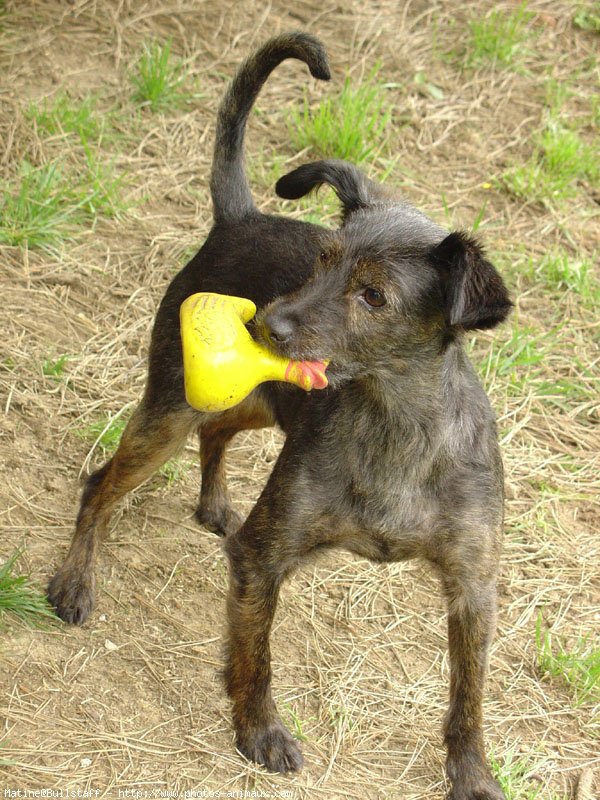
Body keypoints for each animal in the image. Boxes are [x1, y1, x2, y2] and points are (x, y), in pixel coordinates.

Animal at [50, 32, 510, 800]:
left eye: (373, 296)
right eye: (322, 260)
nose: (265, 323)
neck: (395, 427)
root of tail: (240, 217)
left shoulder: (472, 588)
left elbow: (467, 697)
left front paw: (472, 774)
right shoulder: (261, 559)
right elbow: (255, 655)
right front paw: (259, 730)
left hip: (258, 402)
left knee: (218, 431)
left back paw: (212, 502)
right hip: (170, 409)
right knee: (103, 483)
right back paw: (76, 581)